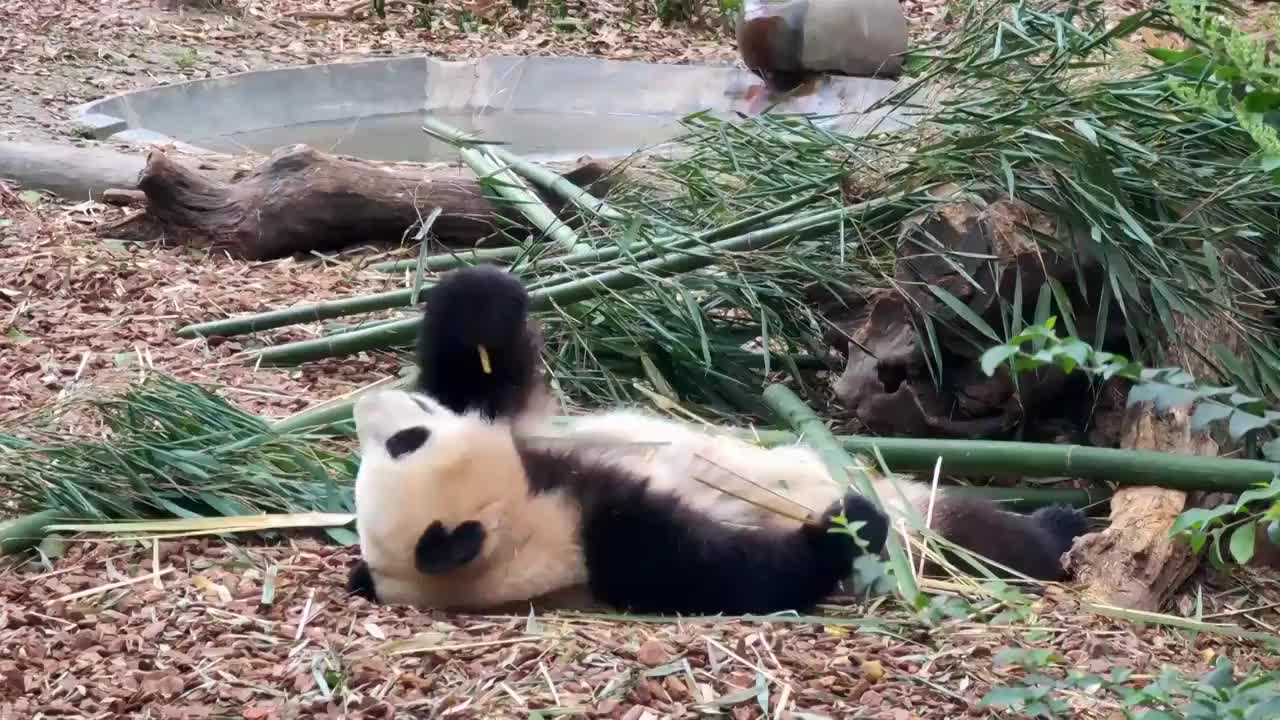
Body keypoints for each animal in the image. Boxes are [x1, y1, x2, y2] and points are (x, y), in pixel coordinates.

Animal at [345, 263, 1085, 609]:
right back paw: (1055, 528)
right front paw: (842, 528)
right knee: (980, 535)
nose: (366, 406)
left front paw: (496, 285)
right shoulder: (602, 542)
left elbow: (475, 371)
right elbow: (736, 575)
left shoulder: (527, 433)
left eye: (403, 436)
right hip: (925, 524)